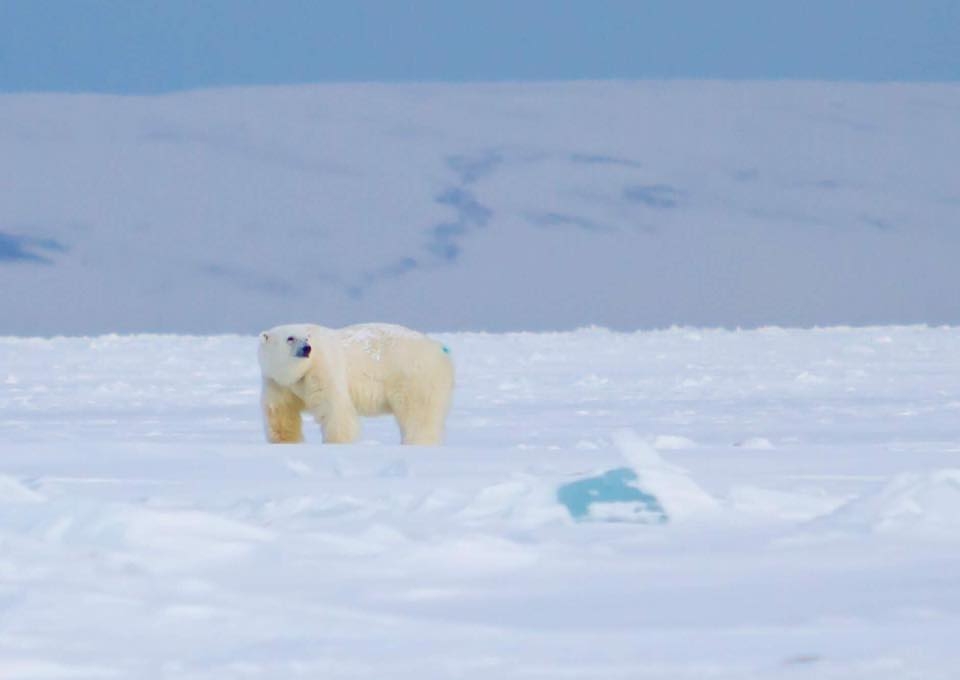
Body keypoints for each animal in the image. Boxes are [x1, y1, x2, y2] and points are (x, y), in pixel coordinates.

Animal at [258, 324, 454, 446]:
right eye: (290, 338)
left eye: (307, 338)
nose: (307, 348)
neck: (297, 374)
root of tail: (440, 349)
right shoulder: (276, 382)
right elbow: (281, 411)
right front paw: (285, 441)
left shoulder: (321, 369)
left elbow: (334, 408)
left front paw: (336, 442)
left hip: (414, 376)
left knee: (418, 413)